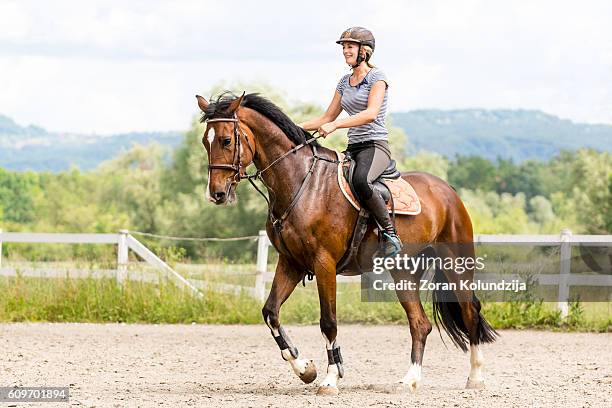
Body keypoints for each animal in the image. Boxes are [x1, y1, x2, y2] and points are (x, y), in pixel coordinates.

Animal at [196, 92, 498, 396]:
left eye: (226, 140)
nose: (216, 194)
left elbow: (328, 322)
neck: (301, 183)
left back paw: (475, 377)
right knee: (420, 324)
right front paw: (305, 369)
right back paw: (410, 380)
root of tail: (448, 191)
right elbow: (270, 312)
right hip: (404, 271)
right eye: (205, 142)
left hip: (455, 265)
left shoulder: (324, 264)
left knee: (469, 312)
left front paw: (330, 379)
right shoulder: (291, 263)